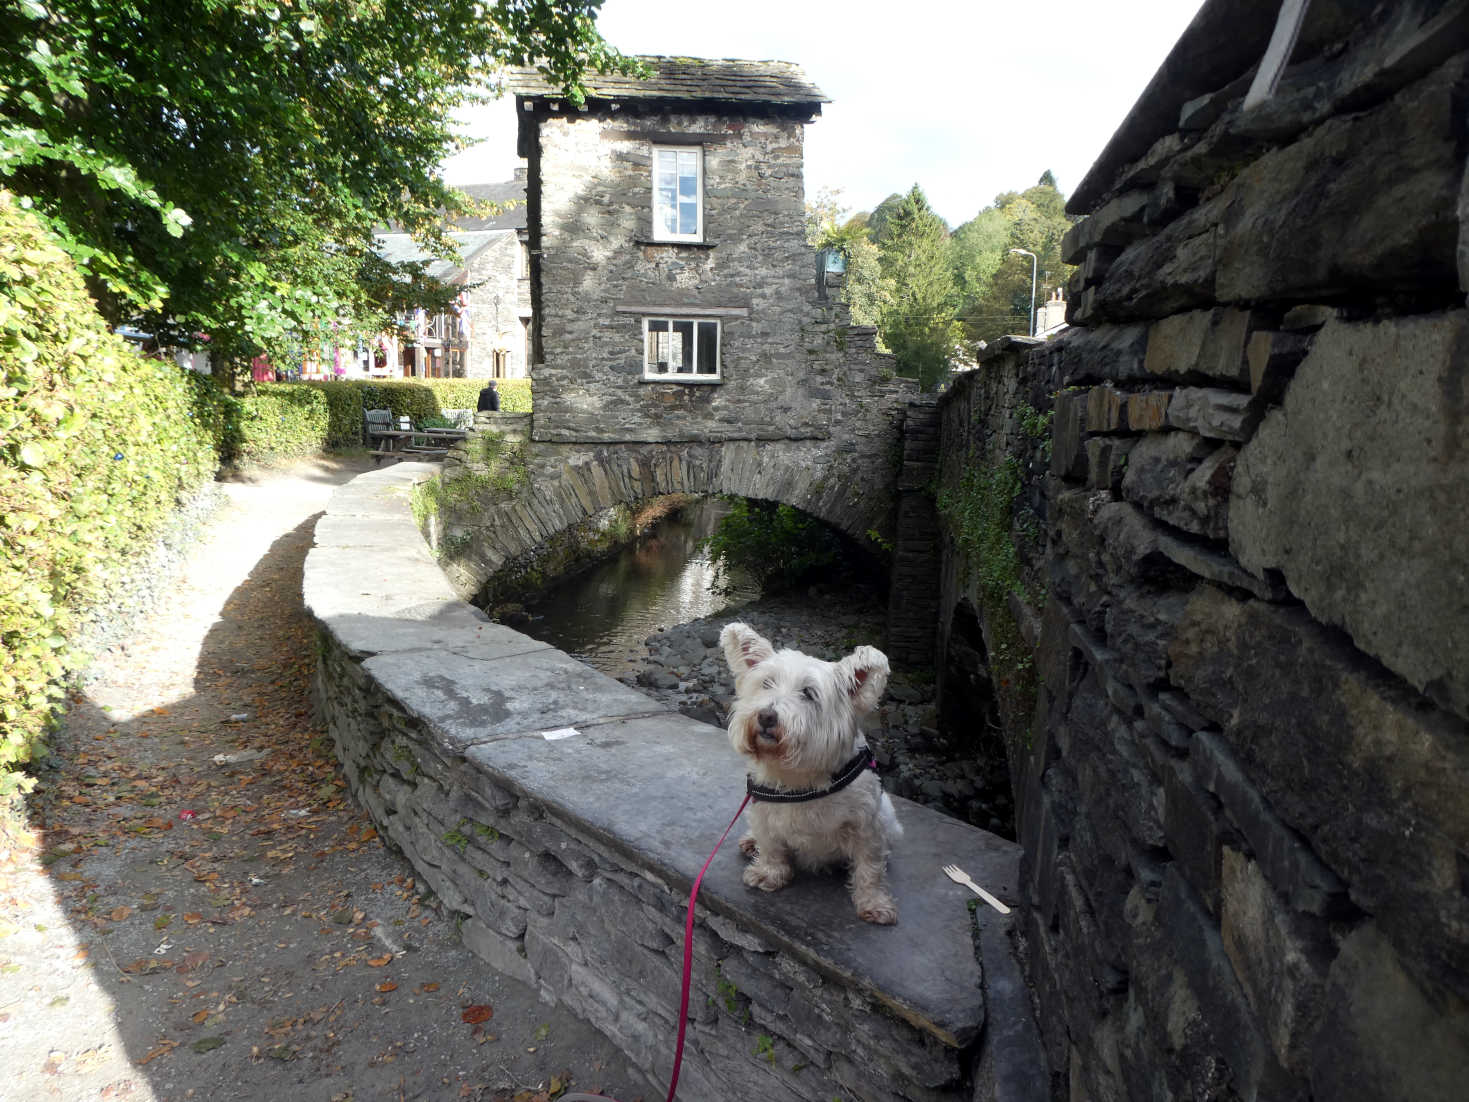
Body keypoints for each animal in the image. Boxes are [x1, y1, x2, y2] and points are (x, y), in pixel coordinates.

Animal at [716, 622, 899, 922]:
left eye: (808, 693)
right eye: (766, 683)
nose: (766, 716)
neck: (798, 777)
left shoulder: (866, 826)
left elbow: (869, 866)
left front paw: (874, 903)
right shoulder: (764, 812)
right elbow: (770, 845)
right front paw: (768, 874)